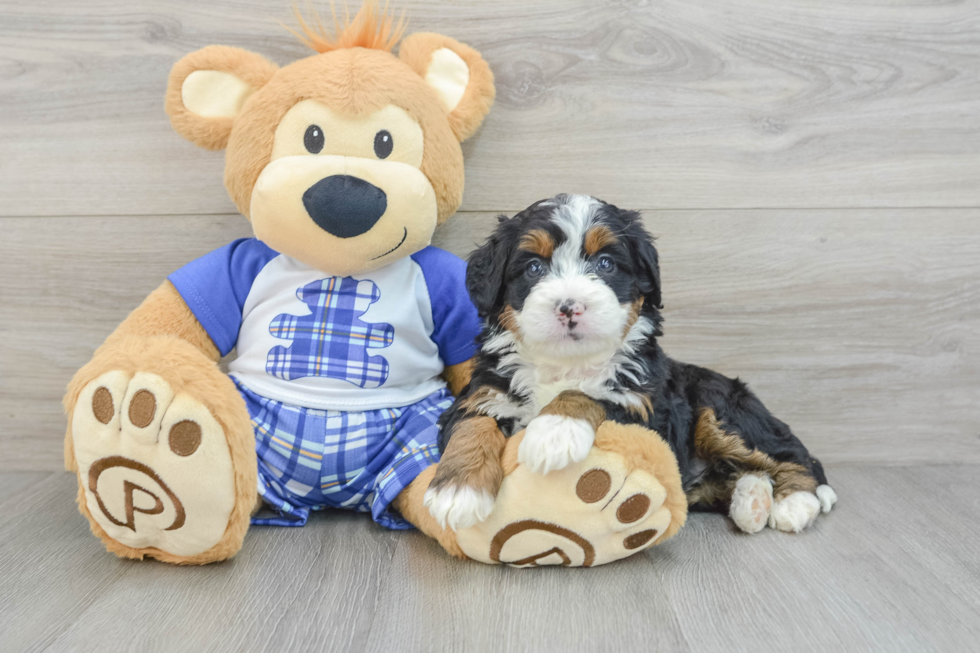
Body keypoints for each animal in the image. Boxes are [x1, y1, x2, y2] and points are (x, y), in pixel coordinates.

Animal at [424, 194, 840, 536]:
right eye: (533, 269)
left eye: (606, 263)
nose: (570, 306)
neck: (565, 364)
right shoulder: (483, 391)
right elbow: (473, 425)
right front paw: (457, 492)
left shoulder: (645, 407)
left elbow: (590, 394)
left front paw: (553, 432)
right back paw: (752, 500)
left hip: (719, 406)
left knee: (793, 455)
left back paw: (794, 502)